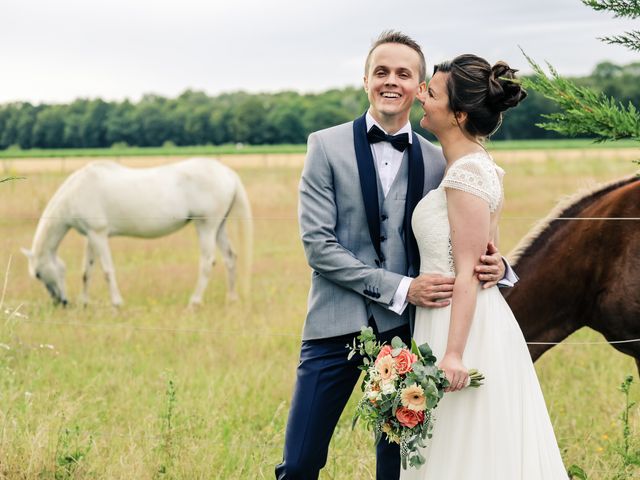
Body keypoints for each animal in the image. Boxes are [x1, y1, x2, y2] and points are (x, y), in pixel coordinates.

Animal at [20, 158, 250, 308]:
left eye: (38, 274)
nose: (61, 302)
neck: (76, 192)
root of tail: (228, 173)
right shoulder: (91, 236)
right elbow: (87, 270)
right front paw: (84, 303)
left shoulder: (99, 235)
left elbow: (107, 270)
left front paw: (116, 303)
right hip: (219, 228)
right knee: (230, 258)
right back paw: (232, 299)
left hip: (206, 227)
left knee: (207, 262)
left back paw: (194, 302)